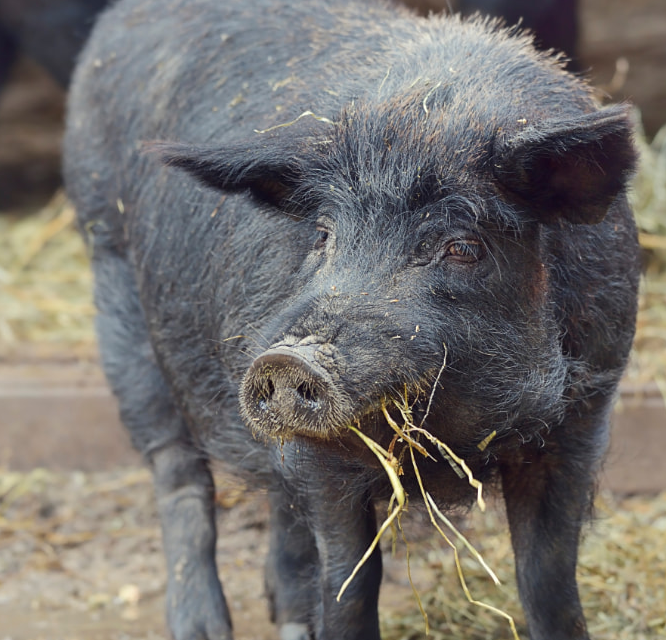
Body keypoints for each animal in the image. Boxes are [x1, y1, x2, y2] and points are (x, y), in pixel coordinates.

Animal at [63, 1, 640, 640]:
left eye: (461, 247)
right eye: (323, 234)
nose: (285, 359)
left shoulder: (584, 413)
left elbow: (549, 578)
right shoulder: (323, 461)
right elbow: (348, 581)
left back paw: (285, 616)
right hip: (113, 280)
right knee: (178, 472)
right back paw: (204, 627)